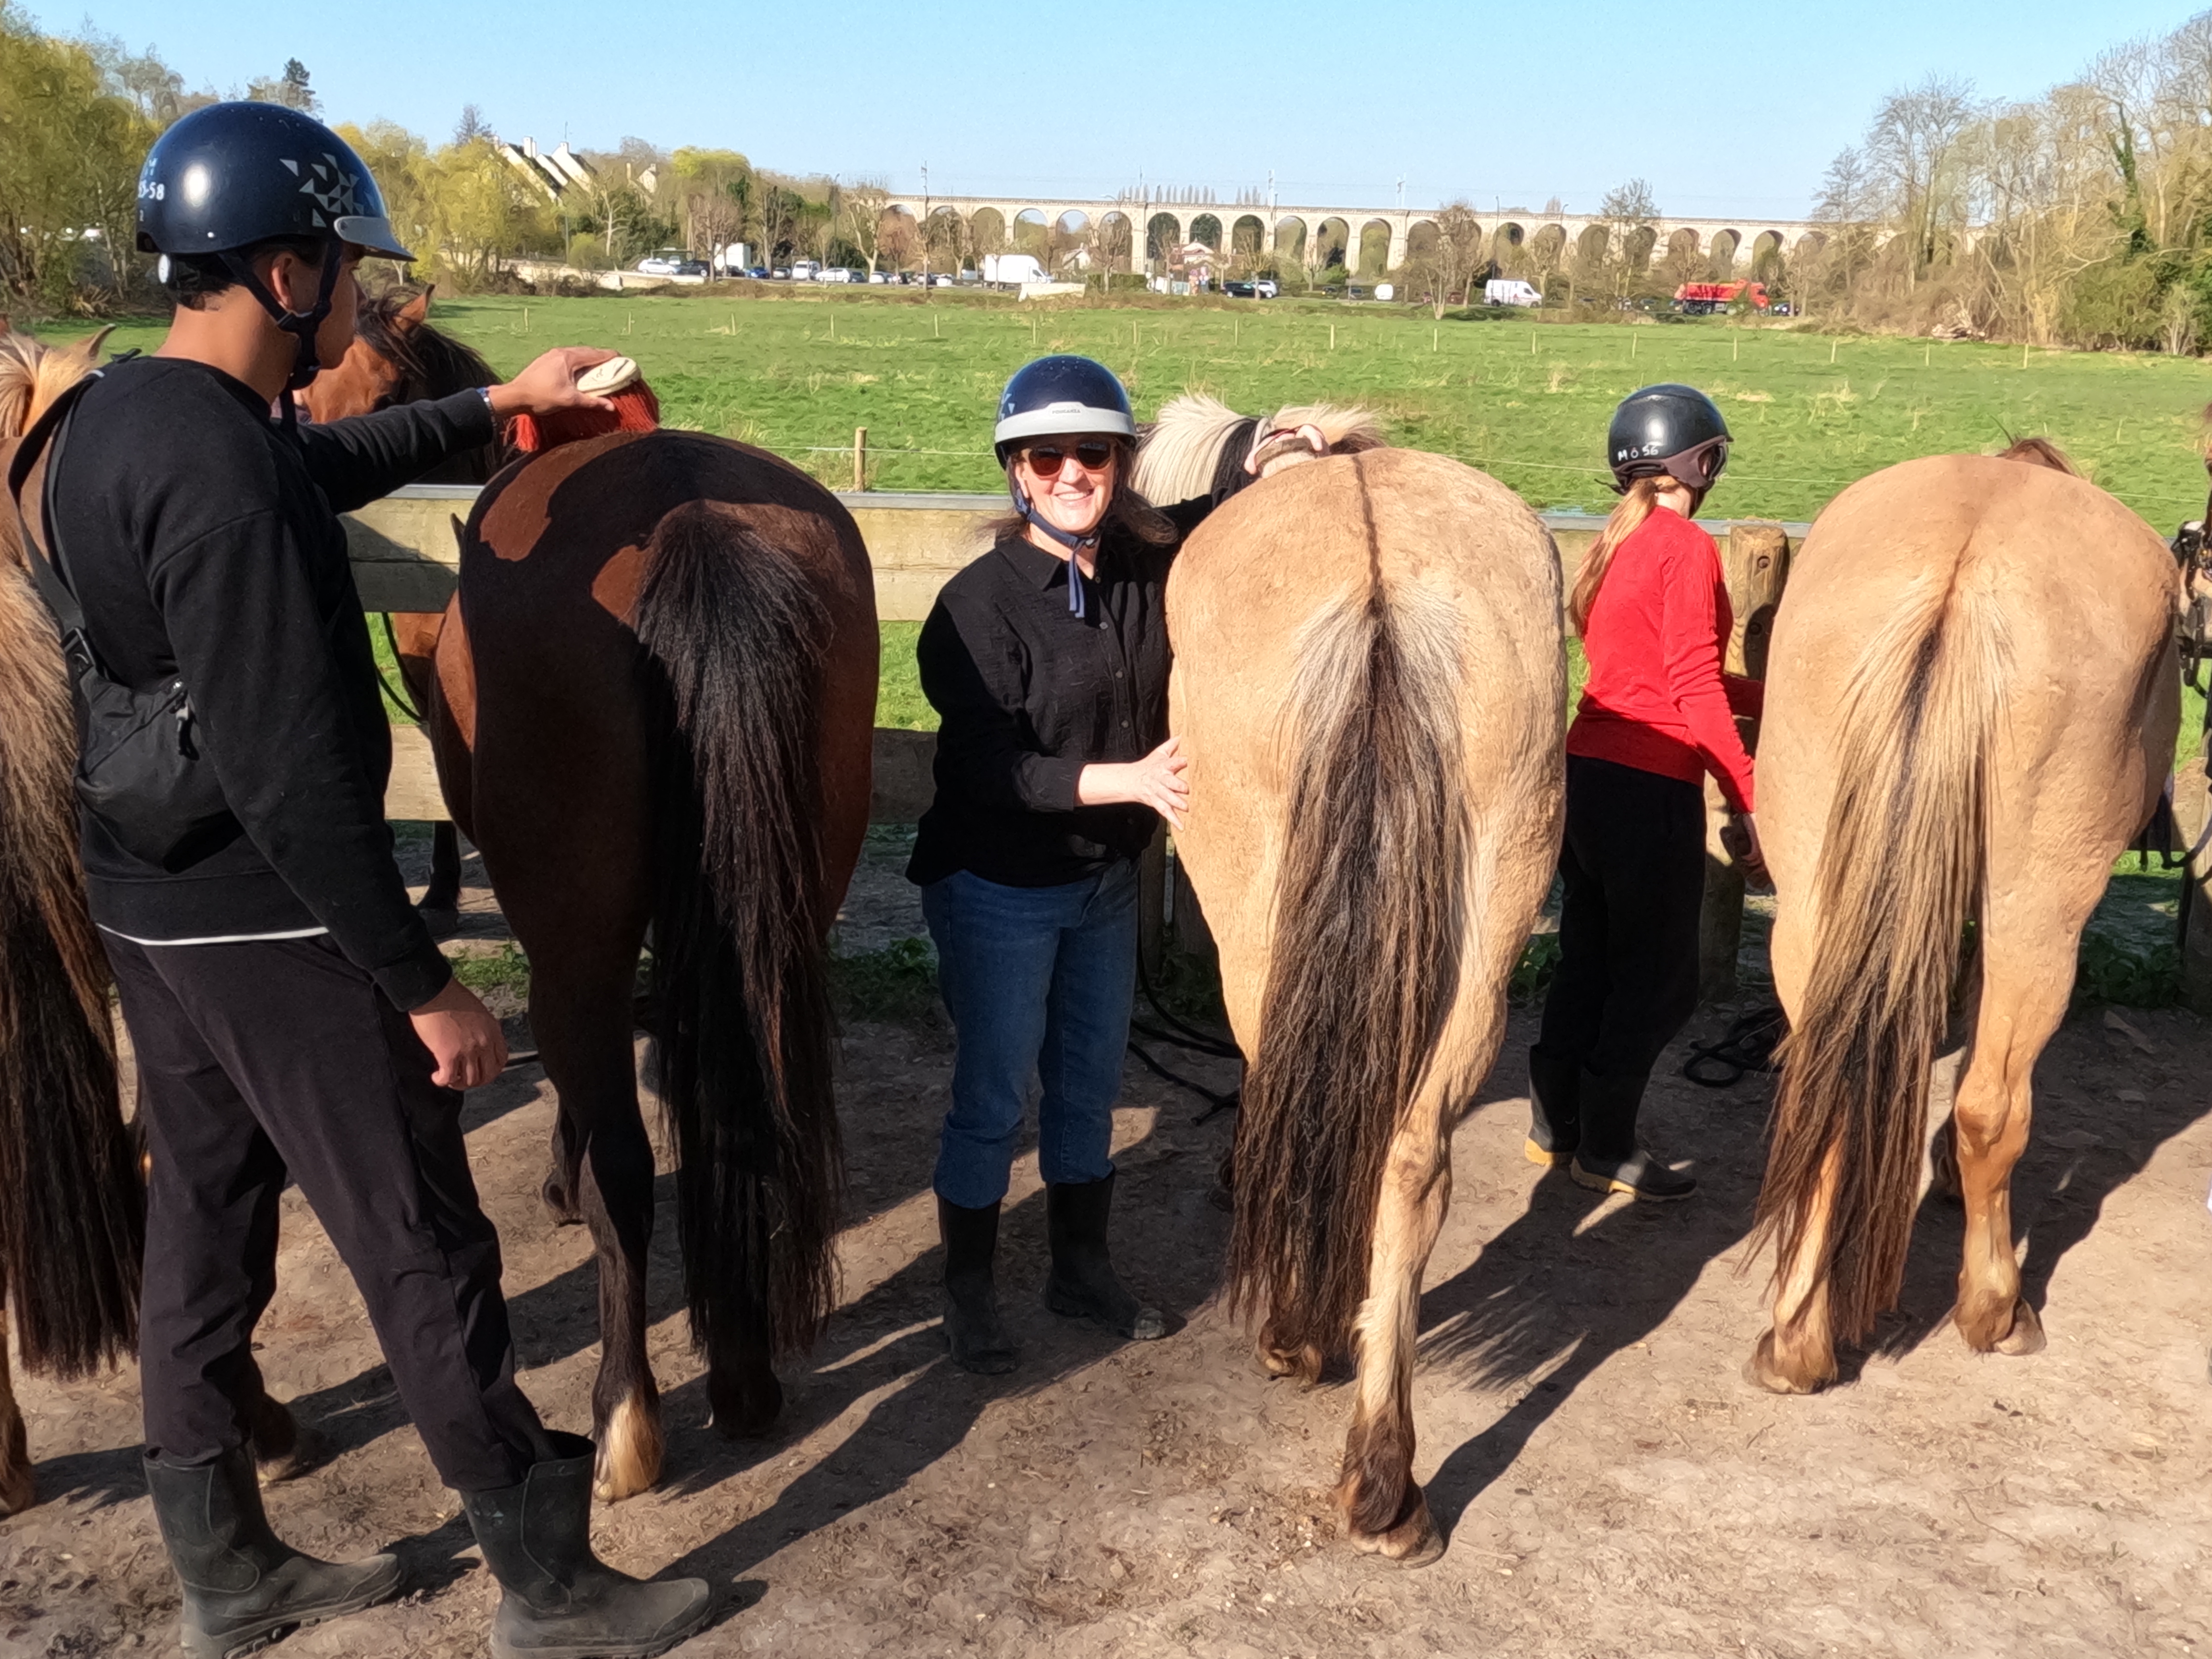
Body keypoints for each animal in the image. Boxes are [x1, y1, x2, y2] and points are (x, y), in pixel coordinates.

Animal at [424, 419, 876, 1500]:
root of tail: (688, 518)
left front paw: (557, 1178)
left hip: (576, 950)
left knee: (624, 1167)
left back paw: (623, 1417)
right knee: (740, 1118)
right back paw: (746, 1378)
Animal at [1134, 396, 1565, 1564]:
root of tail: (1383, 587)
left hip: (1259, 925)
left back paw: (1299, 1340)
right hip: (1491, 917)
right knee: (1411, 1159)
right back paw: (1385, 1476)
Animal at [1744, 439, 2180, 1394]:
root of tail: (1962, 578)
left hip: (1813, 898)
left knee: (1822, 1101)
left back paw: (1795, 1344)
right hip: (2038, 912)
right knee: (1994, 1105)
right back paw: (1995, 1311)